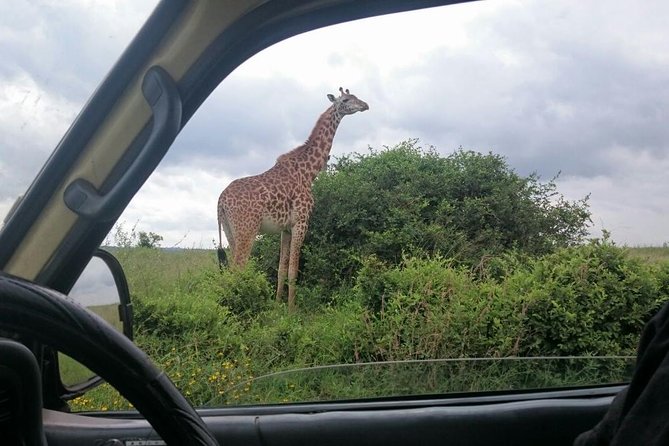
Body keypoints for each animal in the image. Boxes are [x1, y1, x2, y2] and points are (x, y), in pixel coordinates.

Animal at [217, 87, 369, 309]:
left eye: (356, 97)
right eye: (346, 100)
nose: (365, 105)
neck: (308, 172)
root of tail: (220, 201)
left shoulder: (285, 228)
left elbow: (282, 268)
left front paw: (277, 304)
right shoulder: (301, 222)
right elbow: (294, 269)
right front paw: (292, 308)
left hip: (230, 231)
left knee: (231, 269)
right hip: (247, 229)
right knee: (238, 267)